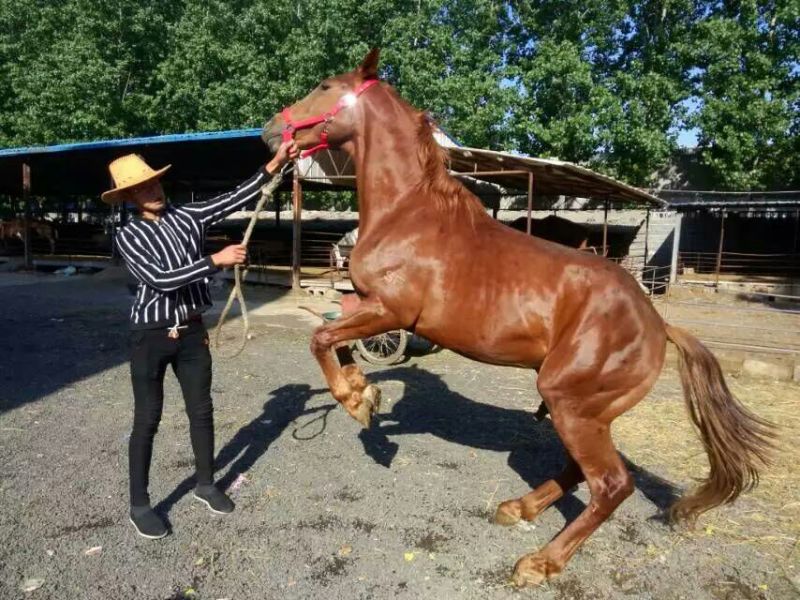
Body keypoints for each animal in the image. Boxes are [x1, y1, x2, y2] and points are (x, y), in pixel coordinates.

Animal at [262, 49, 775, 586]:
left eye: (324, 86)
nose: (272, 132)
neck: (410, 215)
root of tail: (659, 327)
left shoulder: (390, 311)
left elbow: (321, 338)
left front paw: (357, 404)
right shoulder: (367, 306)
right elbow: (335, 337)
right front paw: (364, 391)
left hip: (571, 404)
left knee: (611, 484)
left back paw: (539, 562)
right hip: (583, 411)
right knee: (582, 473)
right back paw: (519, 507)